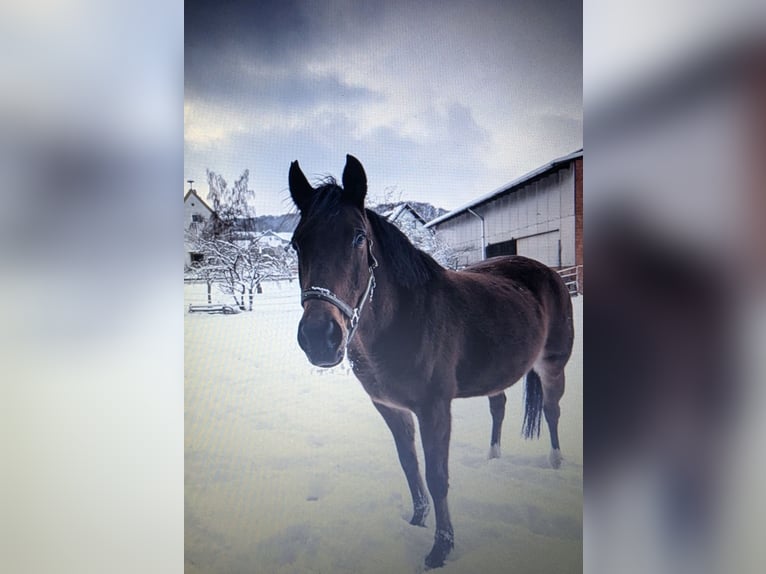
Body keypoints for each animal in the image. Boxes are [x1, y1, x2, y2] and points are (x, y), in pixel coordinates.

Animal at [290, 155, 576, 568]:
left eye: (358, 237)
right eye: (297, 244)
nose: (319, 338)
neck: (405, 320)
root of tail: (550, 274)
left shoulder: (434, 408)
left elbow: (437, 476)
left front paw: (441, 549)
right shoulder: (390, 408)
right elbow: (410, 467)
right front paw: (416, 521)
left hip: (553, 366)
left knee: (552, 412)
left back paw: (555, 463)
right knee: (499, 406)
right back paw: (493, 457)